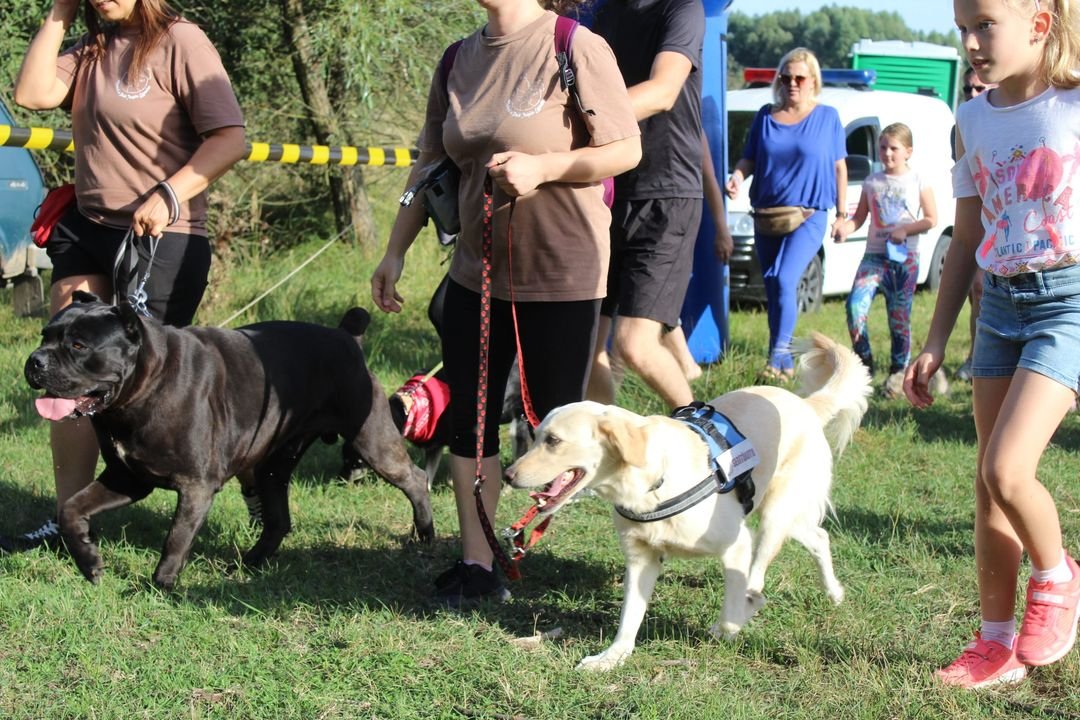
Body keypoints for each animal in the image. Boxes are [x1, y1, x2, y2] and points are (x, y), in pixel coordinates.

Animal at [24, 291, 434, 589]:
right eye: (45, 335)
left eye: (79, 346)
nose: (35, 361)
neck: (143, 385)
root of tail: (347, 335)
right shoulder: (128, 477)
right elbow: (71, 509)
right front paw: (89, 562)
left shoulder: (196, 485)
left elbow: (176, 536)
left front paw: (161, 584)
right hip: (273, 465)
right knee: (278, 518)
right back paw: (251, 561)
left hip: (372, 439)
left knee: (414, 479)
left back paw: (425, 535)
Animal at [505, 332, 871, 670]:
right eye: (534, 437)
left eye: (553, 441)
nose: (508, 475)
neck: (652, 485)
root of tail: (805, 404)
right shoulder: (641, 558)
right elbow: (629, 618)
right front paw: (611, 658)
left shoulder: (736, 544)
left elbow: (731, 611)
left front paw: (734, 621)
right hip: (785, 516)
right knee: (819, 537)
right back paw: (834, 592)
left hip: (774, 516)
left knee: (759, 573)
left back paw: (762, 599)